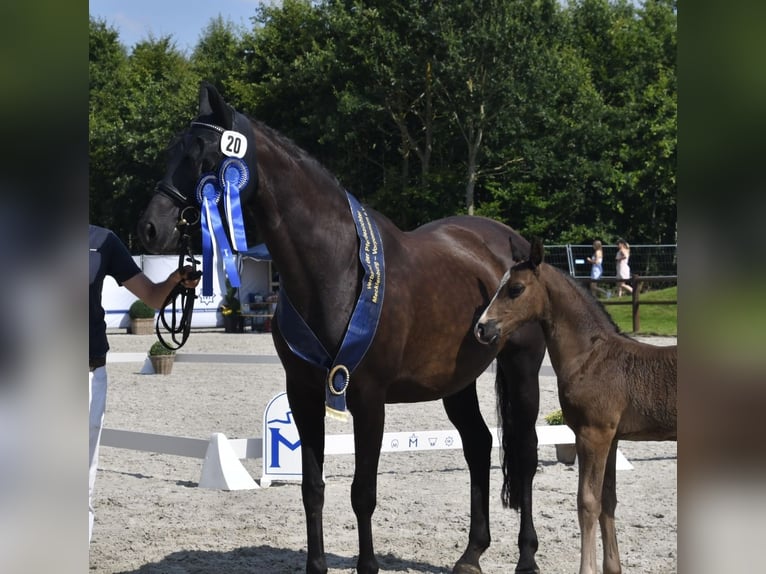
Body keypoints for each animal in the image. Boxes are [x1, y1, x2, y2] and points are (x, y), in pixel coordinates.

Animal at [136, 82, 544, 574]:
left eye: (205, 155)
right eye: (172, 151)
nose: (150, 229)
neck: (336, 269)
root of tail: (514, 244)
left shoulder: (368, 398)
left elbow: (362, 493)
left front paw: (367, 565)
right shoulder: (303, 393)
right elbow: (313, 489)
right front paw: (316, 565)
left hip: (522, 368)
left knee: (525, 453)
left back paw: (526, 556)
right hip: (456, 382)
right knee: (479, 445)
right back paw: (471, 554)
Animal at [474, 238, 680, 574]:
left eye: (515, 288)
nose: (481, 328)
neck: (590, 357)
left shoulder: (592, 435)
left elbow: (587, 502)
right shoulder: (611, 437)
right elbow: (608, 500)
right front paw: (612, 568)